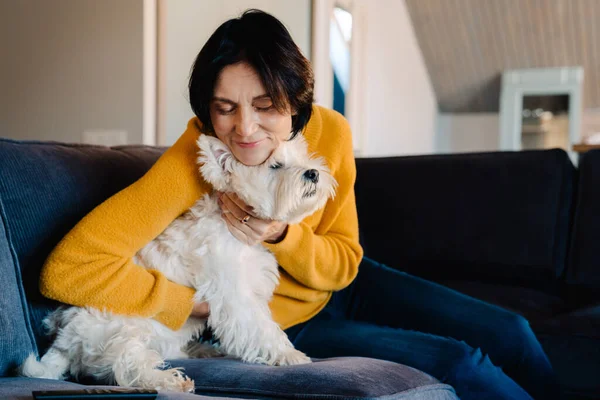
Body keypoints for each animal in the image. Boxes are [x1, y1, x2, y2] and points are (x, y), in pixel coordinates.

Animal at [19, 134, 338, 390]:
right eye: (274, 166)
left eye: (301, 157)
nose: (313, 172)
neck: (233, 229)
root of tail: (63, 340)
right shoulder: (236, 297)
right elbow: (262, 329)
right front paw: (289, 355)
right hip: (121, 333)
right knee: (128, 367)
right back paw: (168, 380)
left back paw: (204, 350)